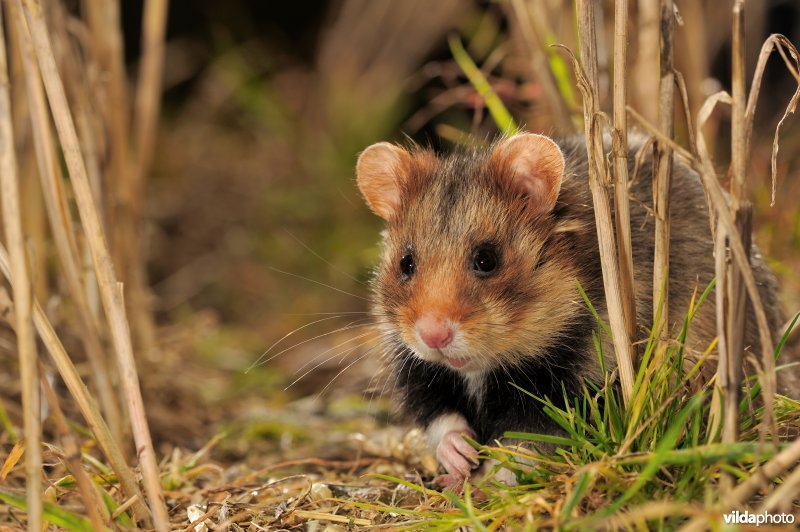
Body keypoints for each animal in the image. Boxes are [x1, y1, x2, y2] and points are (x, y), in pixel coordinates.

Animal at [355, 133, 791, 484]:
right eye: (406, 263)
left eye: (487, 260)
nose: (433, 336)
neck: (484, 366)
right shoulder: (418, 372)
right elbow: (440, 419)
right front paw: (461, 460)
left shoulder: (579, 384)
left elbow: (525, 445)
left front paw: (486, 480)